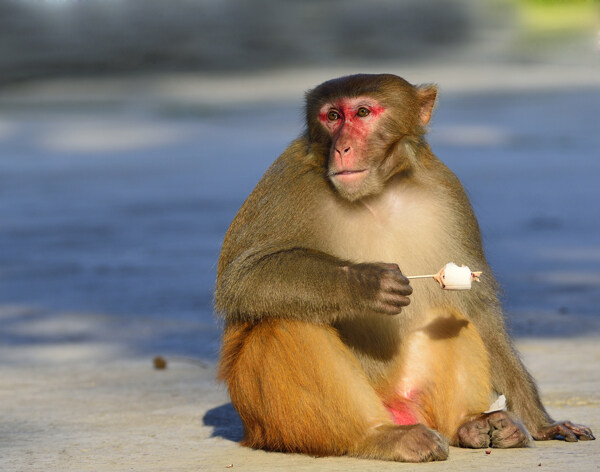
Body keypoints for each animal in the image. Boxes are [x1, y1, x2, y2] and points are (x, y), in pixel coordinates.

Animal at [213, 74, 592, 460]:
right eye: (332, 116)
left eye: (363, 113)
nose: (342, 148)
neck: (376, 193)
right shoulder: (288, 180)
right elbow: (243, 280)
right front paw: (364, 283)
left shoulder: (447, 190)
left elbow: (478, 306)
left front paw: (542, 423)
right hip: (277, 424)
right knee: (283, 322)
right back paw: (380, 436)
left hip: (415, 396)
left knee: (450, 315)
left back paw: (471, 425)